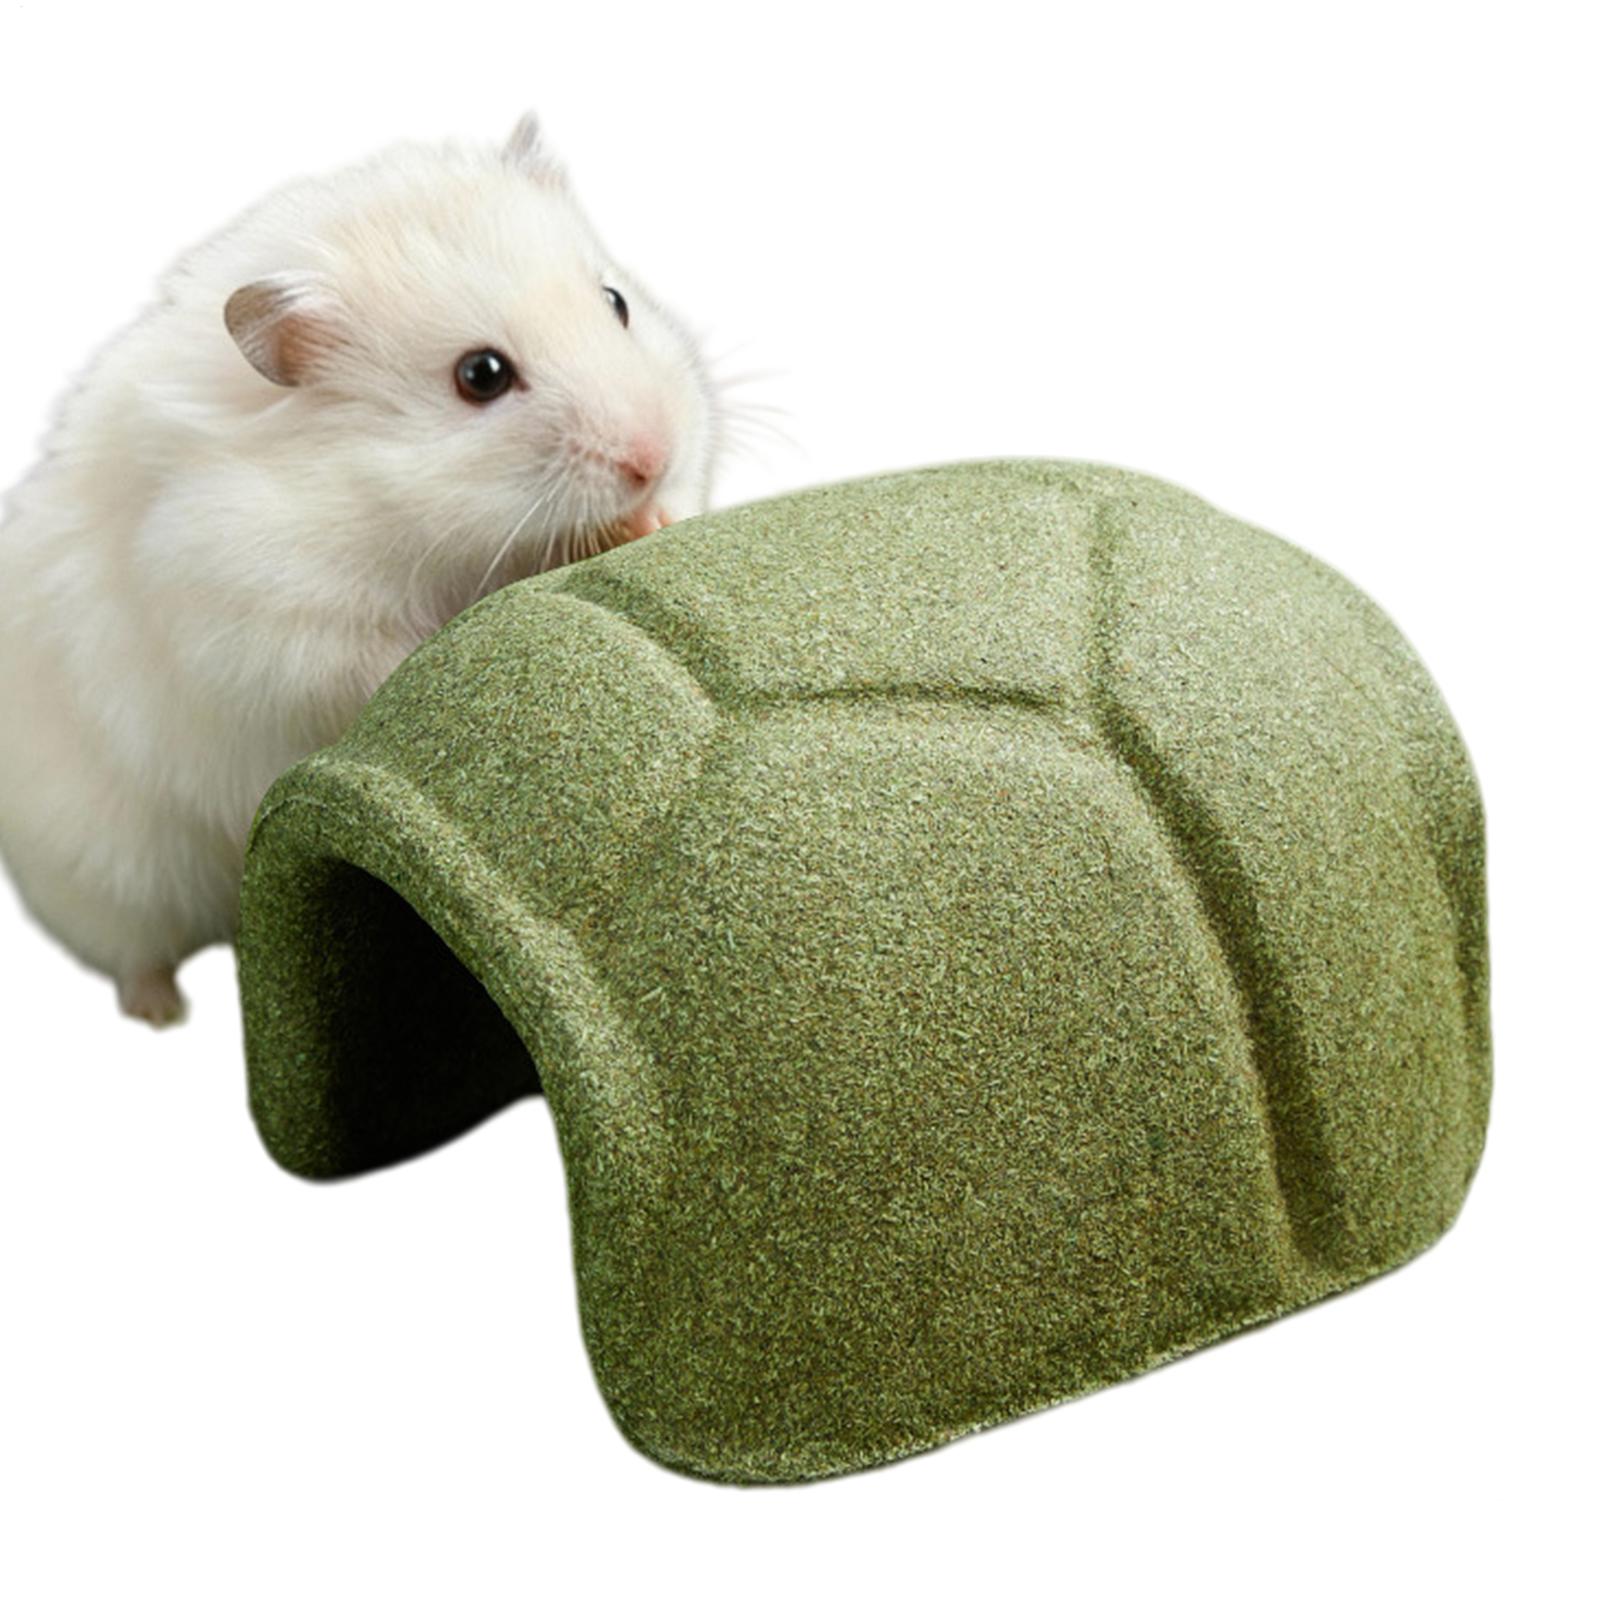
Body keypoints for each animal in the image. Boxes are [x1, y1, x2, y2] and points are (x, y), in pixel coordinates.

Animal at [0, 114, 721, 1024]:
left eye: (616, 303)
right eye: (481, 375)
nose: (650, 457)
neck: (391, 512)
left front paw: (657, 519)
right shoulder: (268, 623)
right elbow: (371, 657)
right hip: (108, 876)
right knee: (133, 948)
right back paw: (161, 1010)